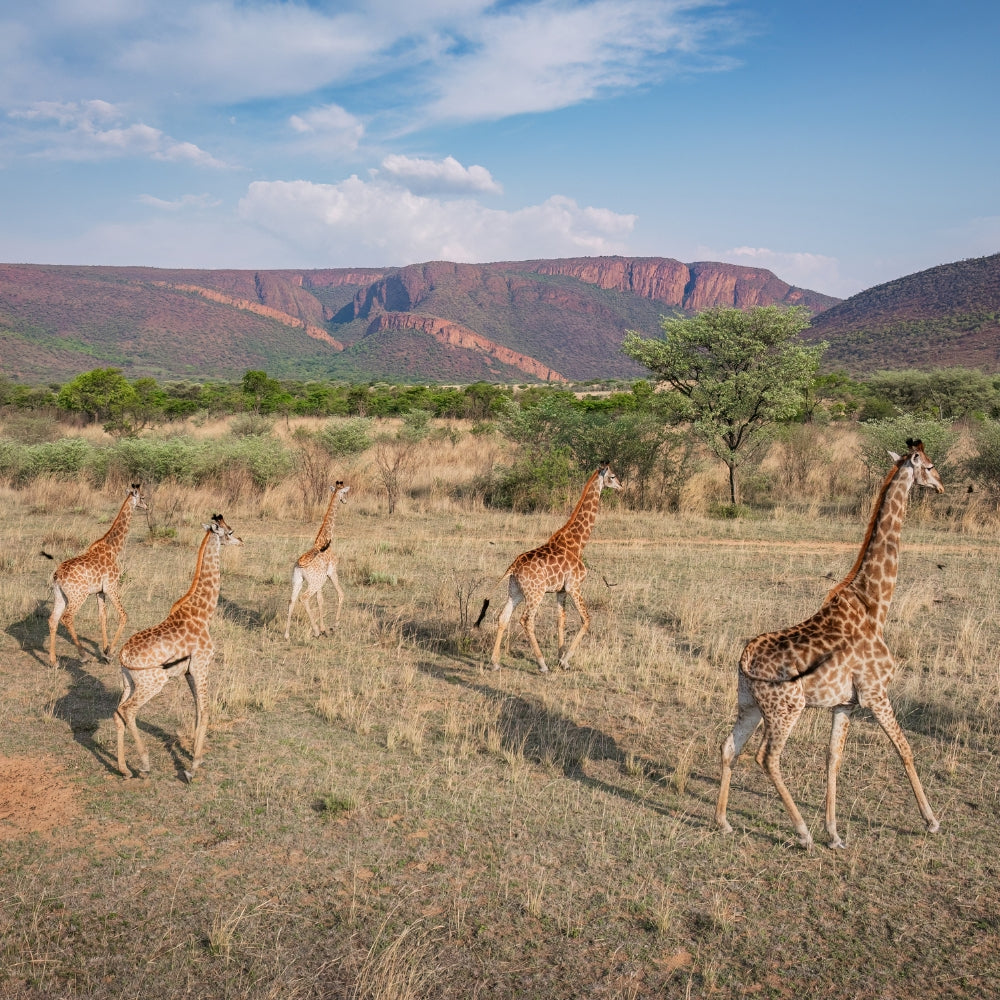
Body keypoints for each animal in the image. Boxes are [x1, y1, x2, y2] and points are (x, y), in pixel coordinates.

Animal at [47, 483, 147, 667]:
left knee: (53, 619)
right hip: (78, 595)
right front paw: (110, 653)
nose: (147, 506)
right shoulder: (111, 587)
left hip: (60, 595)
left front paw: (105, 650)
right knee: (67, 617)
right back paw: (83, 655)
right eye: (142, 497)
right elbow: (123, 616)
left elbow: (103, 617)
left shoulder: (100, 592)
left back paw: (53, 661)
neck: (113, 548)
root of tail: (57, 576)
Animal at [115, 514, 243, 780]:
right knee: (128, 710)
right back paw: (144, 764)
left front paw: (196, 755)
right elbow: (205, 709)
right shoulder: (202, 665)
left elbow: (196, 709)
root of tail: (122, 656)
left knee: (117, 712)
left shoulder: (188, 672)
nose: (241, 541)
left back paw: (123, 768)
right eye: (229, 531)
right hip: (153, 682)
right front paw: (192, 767)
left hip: (128, 683)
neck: (203, 613)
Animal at [284, 480, 350, 639]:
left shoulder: (321, 579)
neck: (324, 541)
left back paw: (287, 635)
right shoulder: (331, 572)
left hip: (298, 581)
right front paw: (333, 627)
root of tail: (299, 566)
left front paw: (323, 628)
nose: (345, 501)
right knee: (304, 598)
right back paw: (314, 631)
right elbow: (341, 594)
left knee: (291, 600)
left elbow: (320, 600)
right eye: (344, 493)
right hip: (313, 583)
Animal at [477, 462, 623, 673]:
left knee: (503, 617)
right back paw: (542, 664)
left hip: (516, 591)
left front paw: (562, 659)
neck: (578, 543)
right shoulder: (574, 586)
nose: (621, 486)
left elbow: (560, 620)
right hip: (535, 593)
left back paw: (495, 662)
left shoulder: (561, 590)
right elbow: (586, 619)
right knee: (526, 620)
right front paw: (565, 660)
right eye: (612, 476)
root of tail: (512, 567)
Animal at [715, 439, 944, 850]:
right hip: (786, 709)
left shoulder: (844, 703)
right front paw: (931, 821)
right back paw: (802, 833)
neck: (875, 604)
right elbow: (905, 749)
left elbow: (832, 759)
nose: (941, 487)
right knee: (766, 758)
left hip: (749, 705)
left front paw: (834, 833)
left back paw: (723, 821)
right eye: (929, 466)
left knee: (730, 747)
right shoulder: (876, 693)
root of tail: (744, 659)